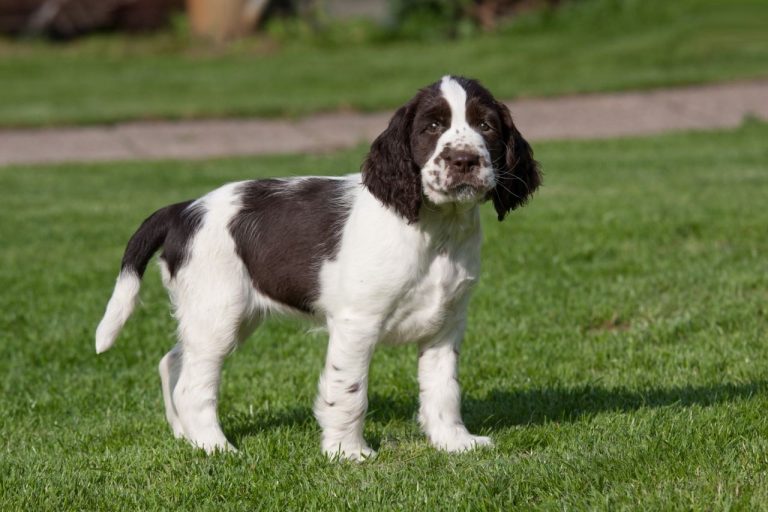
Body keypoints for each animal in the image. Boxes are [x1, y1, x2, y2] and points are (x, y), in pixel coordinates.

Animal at [96, 75, 540, 460]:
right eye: (431, 127)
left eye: (486, 125)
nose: (464, 160)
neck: (435, 229)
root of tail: (183, 210)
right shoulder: (357, 322)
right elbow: (349, 390)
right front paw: (348, 452)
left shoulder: (447, 323)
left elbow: (443, 388)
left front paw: (454, 443)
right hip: (219, 313)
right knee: (192, 384)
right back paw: (215, 447)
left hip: (226, 314)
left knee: (173, 361)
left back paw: (184, 437)